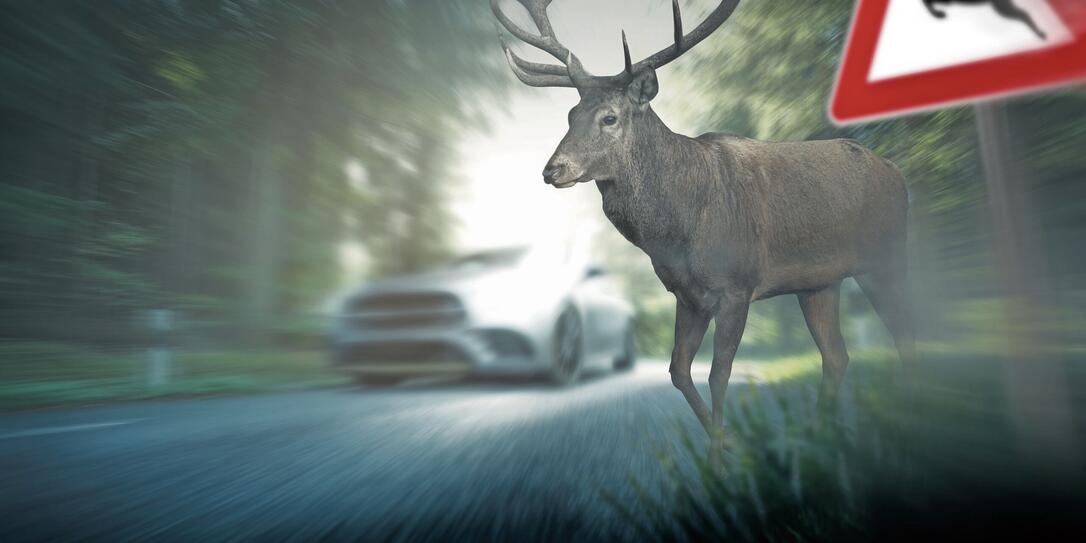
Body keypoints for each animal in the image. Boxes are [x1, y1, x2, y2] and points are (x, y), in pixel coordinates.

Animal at [491, 0, 915, 454]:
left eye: (610, 117)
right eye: (571, 114)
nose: (553, 170)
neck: (679, 229)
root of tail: (896, 172)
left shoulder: (737, 286)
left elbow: (718, 374)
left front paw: (721, 457)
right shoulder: (687, 295)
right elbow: (678, 370)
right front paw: (726, 439)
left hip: (886, 258)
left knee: (907, 332)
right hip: (819, 283)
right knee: (837, 355)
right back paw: (820, 436)